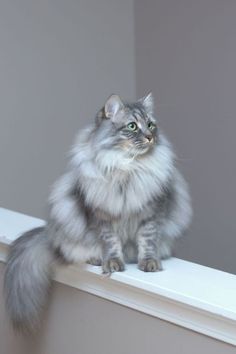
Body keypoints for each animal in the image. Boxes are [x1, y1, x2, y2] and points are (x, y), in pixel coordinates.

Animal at [3, 93, 192, 332]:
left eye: (150, 125)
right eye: (132, 126)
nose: (150, 137)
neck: (128, 168)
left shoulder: (151, 213)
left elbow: (147, 242)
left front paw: (149, 263)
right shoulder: (102, 217)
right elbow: (111, 243)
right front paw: (113, 263)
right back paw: (95, 258)